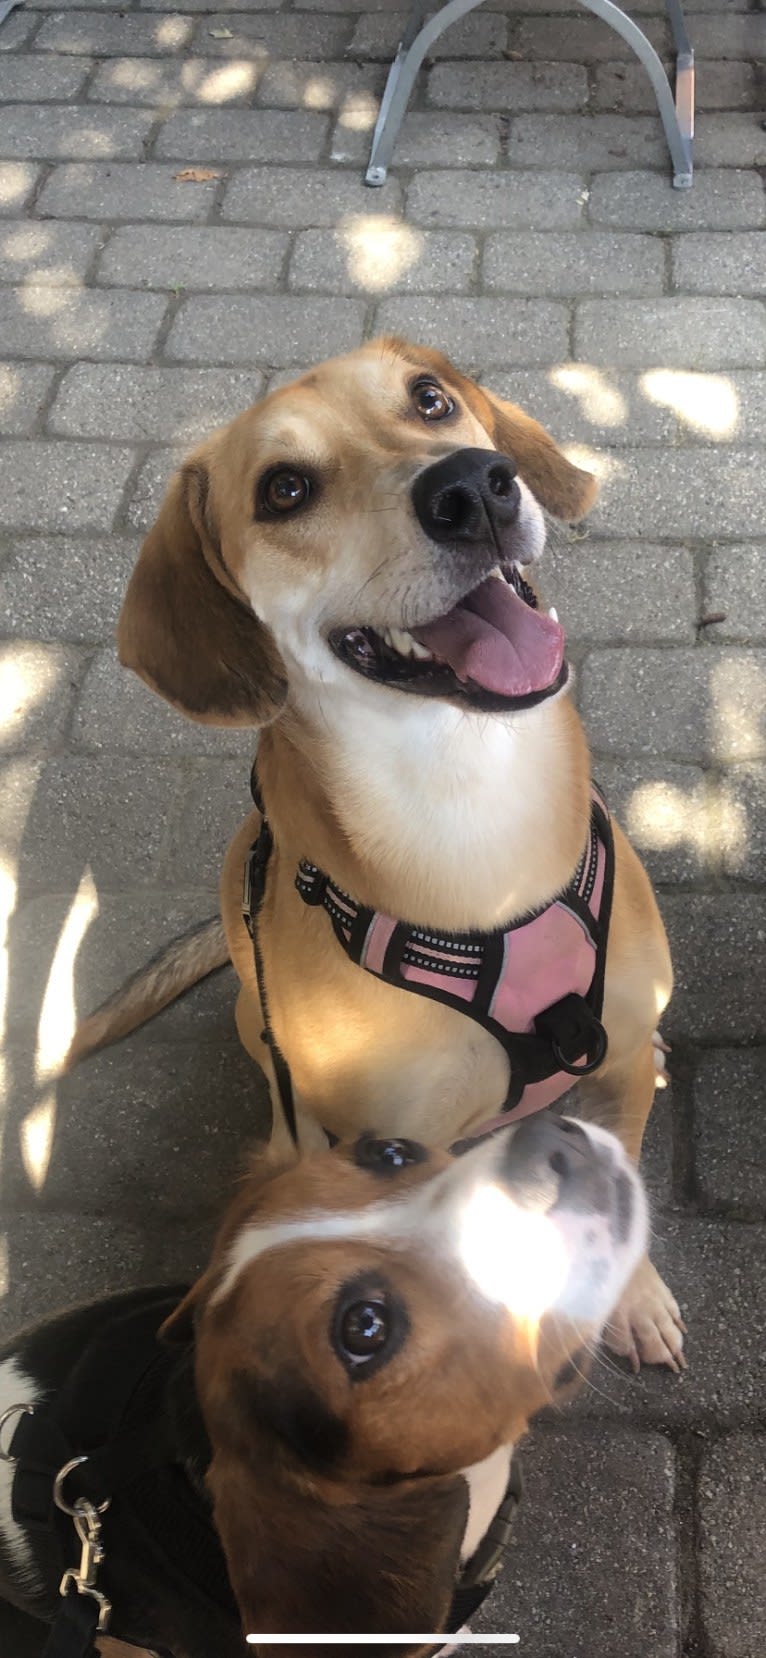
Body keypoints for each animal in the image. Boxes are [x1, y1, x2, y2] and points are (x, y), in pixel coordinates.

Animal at [71, 339, 679, 1372]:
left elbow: (627, 1166)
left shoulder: (618, 1060)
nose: (473, 487)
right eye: (284, 490)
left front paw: (630, 1296)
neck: (473, 803)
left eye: (429, 400)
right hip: (263, 1040)